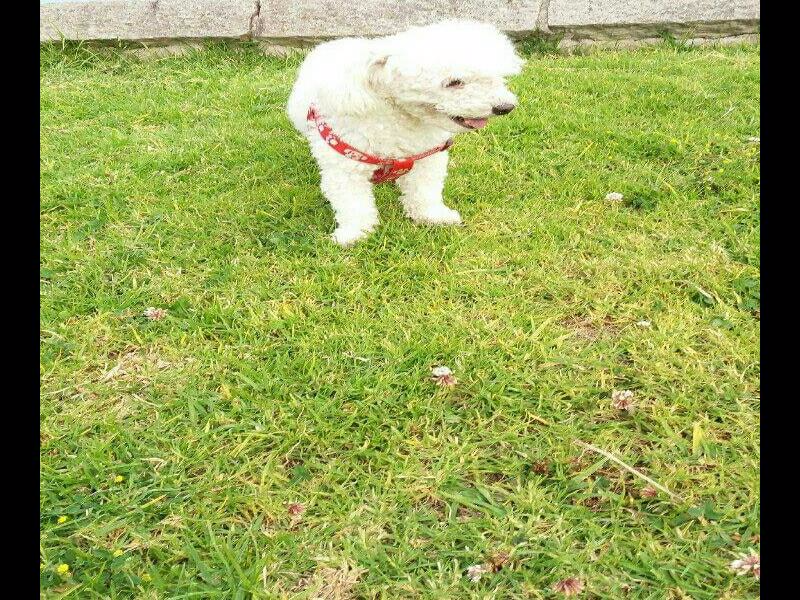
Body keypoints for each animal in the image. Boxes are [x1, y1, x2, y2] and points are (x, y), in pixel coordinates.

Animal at [287, 20, 523, 246]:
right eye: (454, 82)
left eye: (496, 77)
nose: (506, 107)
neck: (400, 120)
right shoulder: (345, 168)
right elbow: (353, 203)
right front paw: (355, 234)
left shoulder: (427, 158)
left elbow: (424, 191)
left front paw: (432, 216)